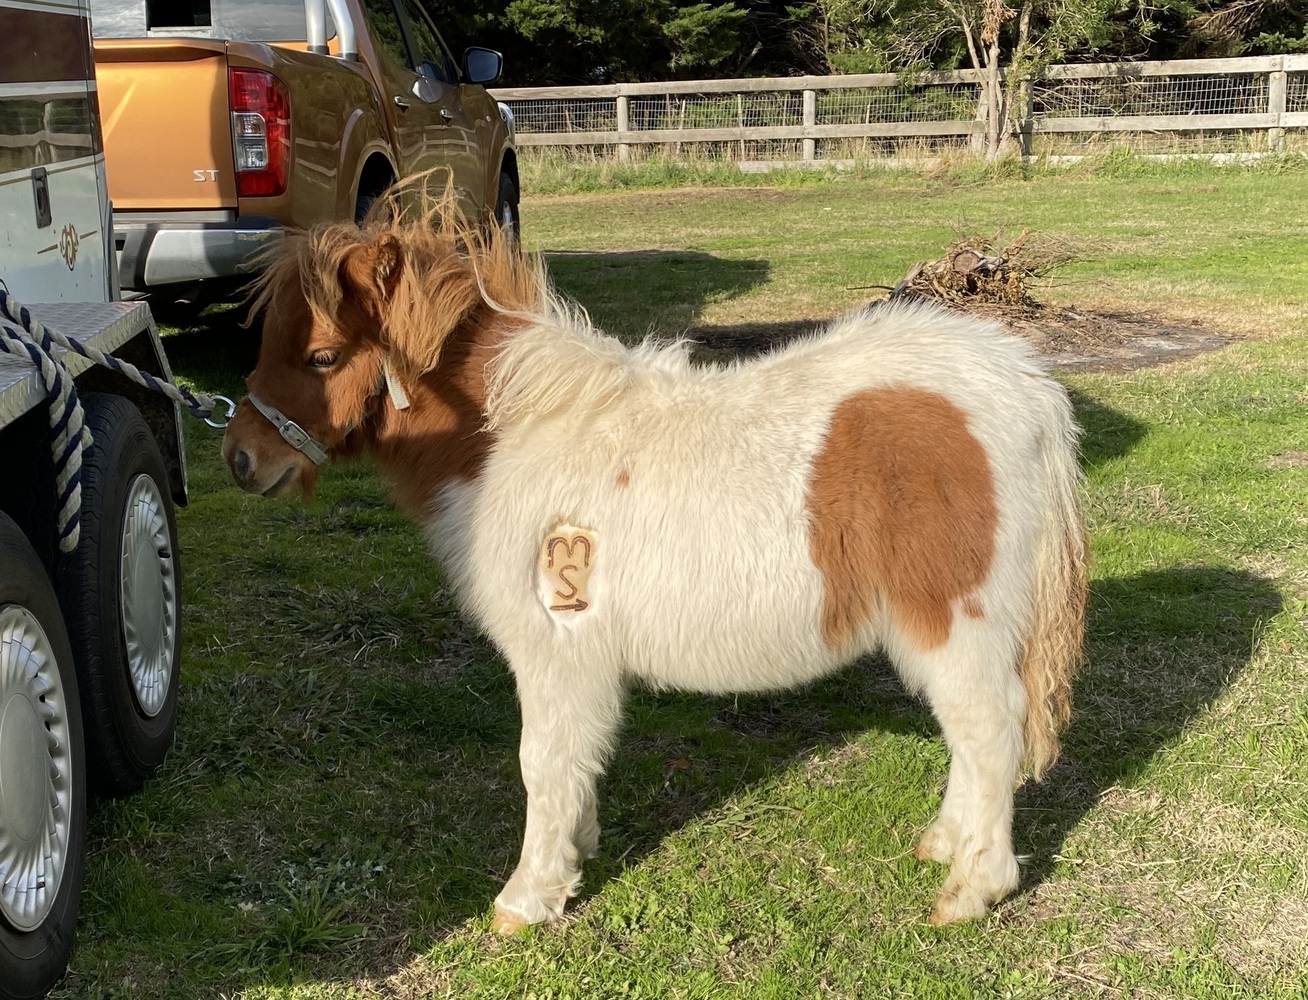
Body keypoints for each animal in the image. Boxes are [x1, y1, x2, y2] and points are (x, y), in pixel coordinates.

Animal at [222, 201, 1088, 934]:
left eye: (323, 355)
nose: (239, 459)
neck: (518, 438)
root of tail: (1023, 381)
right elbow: (576, 761)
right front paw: (575, 855)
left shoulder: (555, 653)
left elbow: (543, 763)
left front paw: (528, 898)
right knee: (971, 737)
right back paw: (945, 843)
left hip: (958, 622)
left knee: (990, 731)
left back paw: (973, 887)